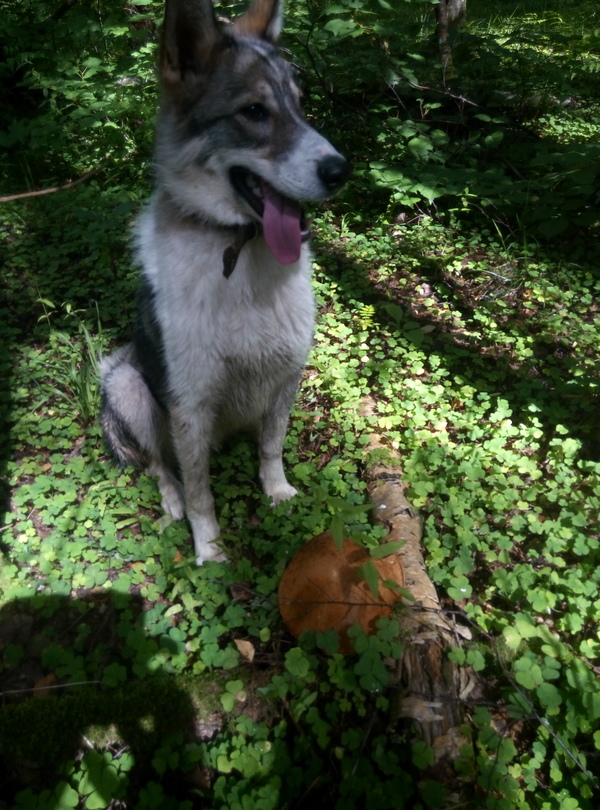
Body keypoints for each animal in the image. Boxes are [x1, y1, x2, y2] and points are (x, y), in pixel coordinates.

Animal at [101, 0, 350, 560]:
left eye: (300, 105)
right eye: (254, 111)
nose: (340, 170)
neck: (239, 252)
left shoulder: (284, 377)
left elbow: (272, 447)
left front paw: (278, 494)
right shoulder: (188, 405)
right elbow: (200, 492)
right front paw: (209, 552)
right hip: (127, 383)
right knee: (159, 466)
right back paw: (169, 502)